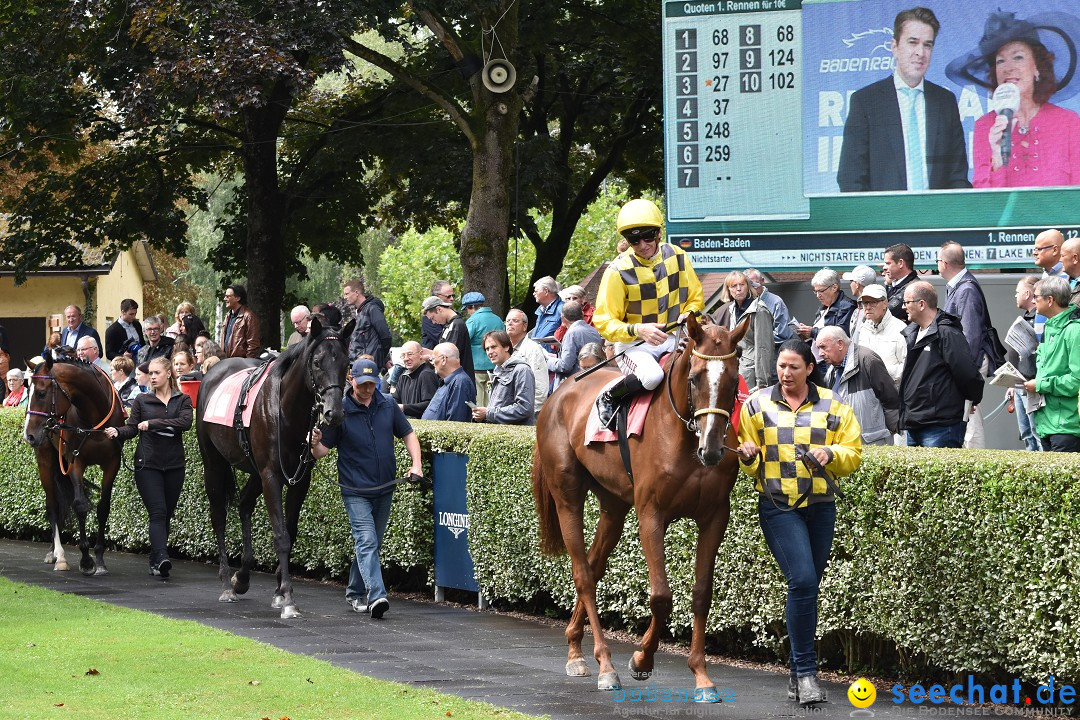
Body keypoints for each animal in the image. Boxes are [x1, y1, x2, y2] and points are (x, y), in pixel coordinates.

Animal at [22, 354, 125, 574]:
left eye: (41, 393)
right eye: (28, 391)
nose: (29, 435)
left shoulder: (112, 463)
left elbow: (103, 508)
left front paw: (99, 557)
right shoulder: (75, 461)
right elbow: (79, 505)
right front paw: (86, 559)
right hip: (45, 457)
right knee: (53, 506)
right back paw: (58, 555)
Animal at [196, 319, 356, 621]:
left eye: (347, 363)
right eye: (317, 362)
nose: (334, 413)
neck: (286, 411)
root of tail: (215, 370)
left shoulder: (299, 478)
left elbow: (290, 532)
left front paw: (280, 591)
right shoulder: (271, 475)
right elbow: (281, 535)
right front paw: (289, 598)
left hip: (254, 471)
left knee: (244, 504)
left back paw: (242, 577)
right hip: (214, 463)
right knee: (218, 516)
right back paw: (227, 584)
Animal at [533, 313, 751, 699]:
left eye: (732, 378)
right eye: (694, 377)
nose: (712, 449)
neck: (684, 439)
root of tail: (558, 394)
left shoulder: (714, 517)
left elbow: (702, 594)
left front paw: (701, 675)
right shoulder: (651, 513)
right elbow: (661, 596)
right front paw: (641, 660)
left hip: (613, 505)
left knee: (594, 566)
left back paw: (575, 648)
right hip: (567, 497)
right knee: (583, 574)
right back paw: (605, 665)